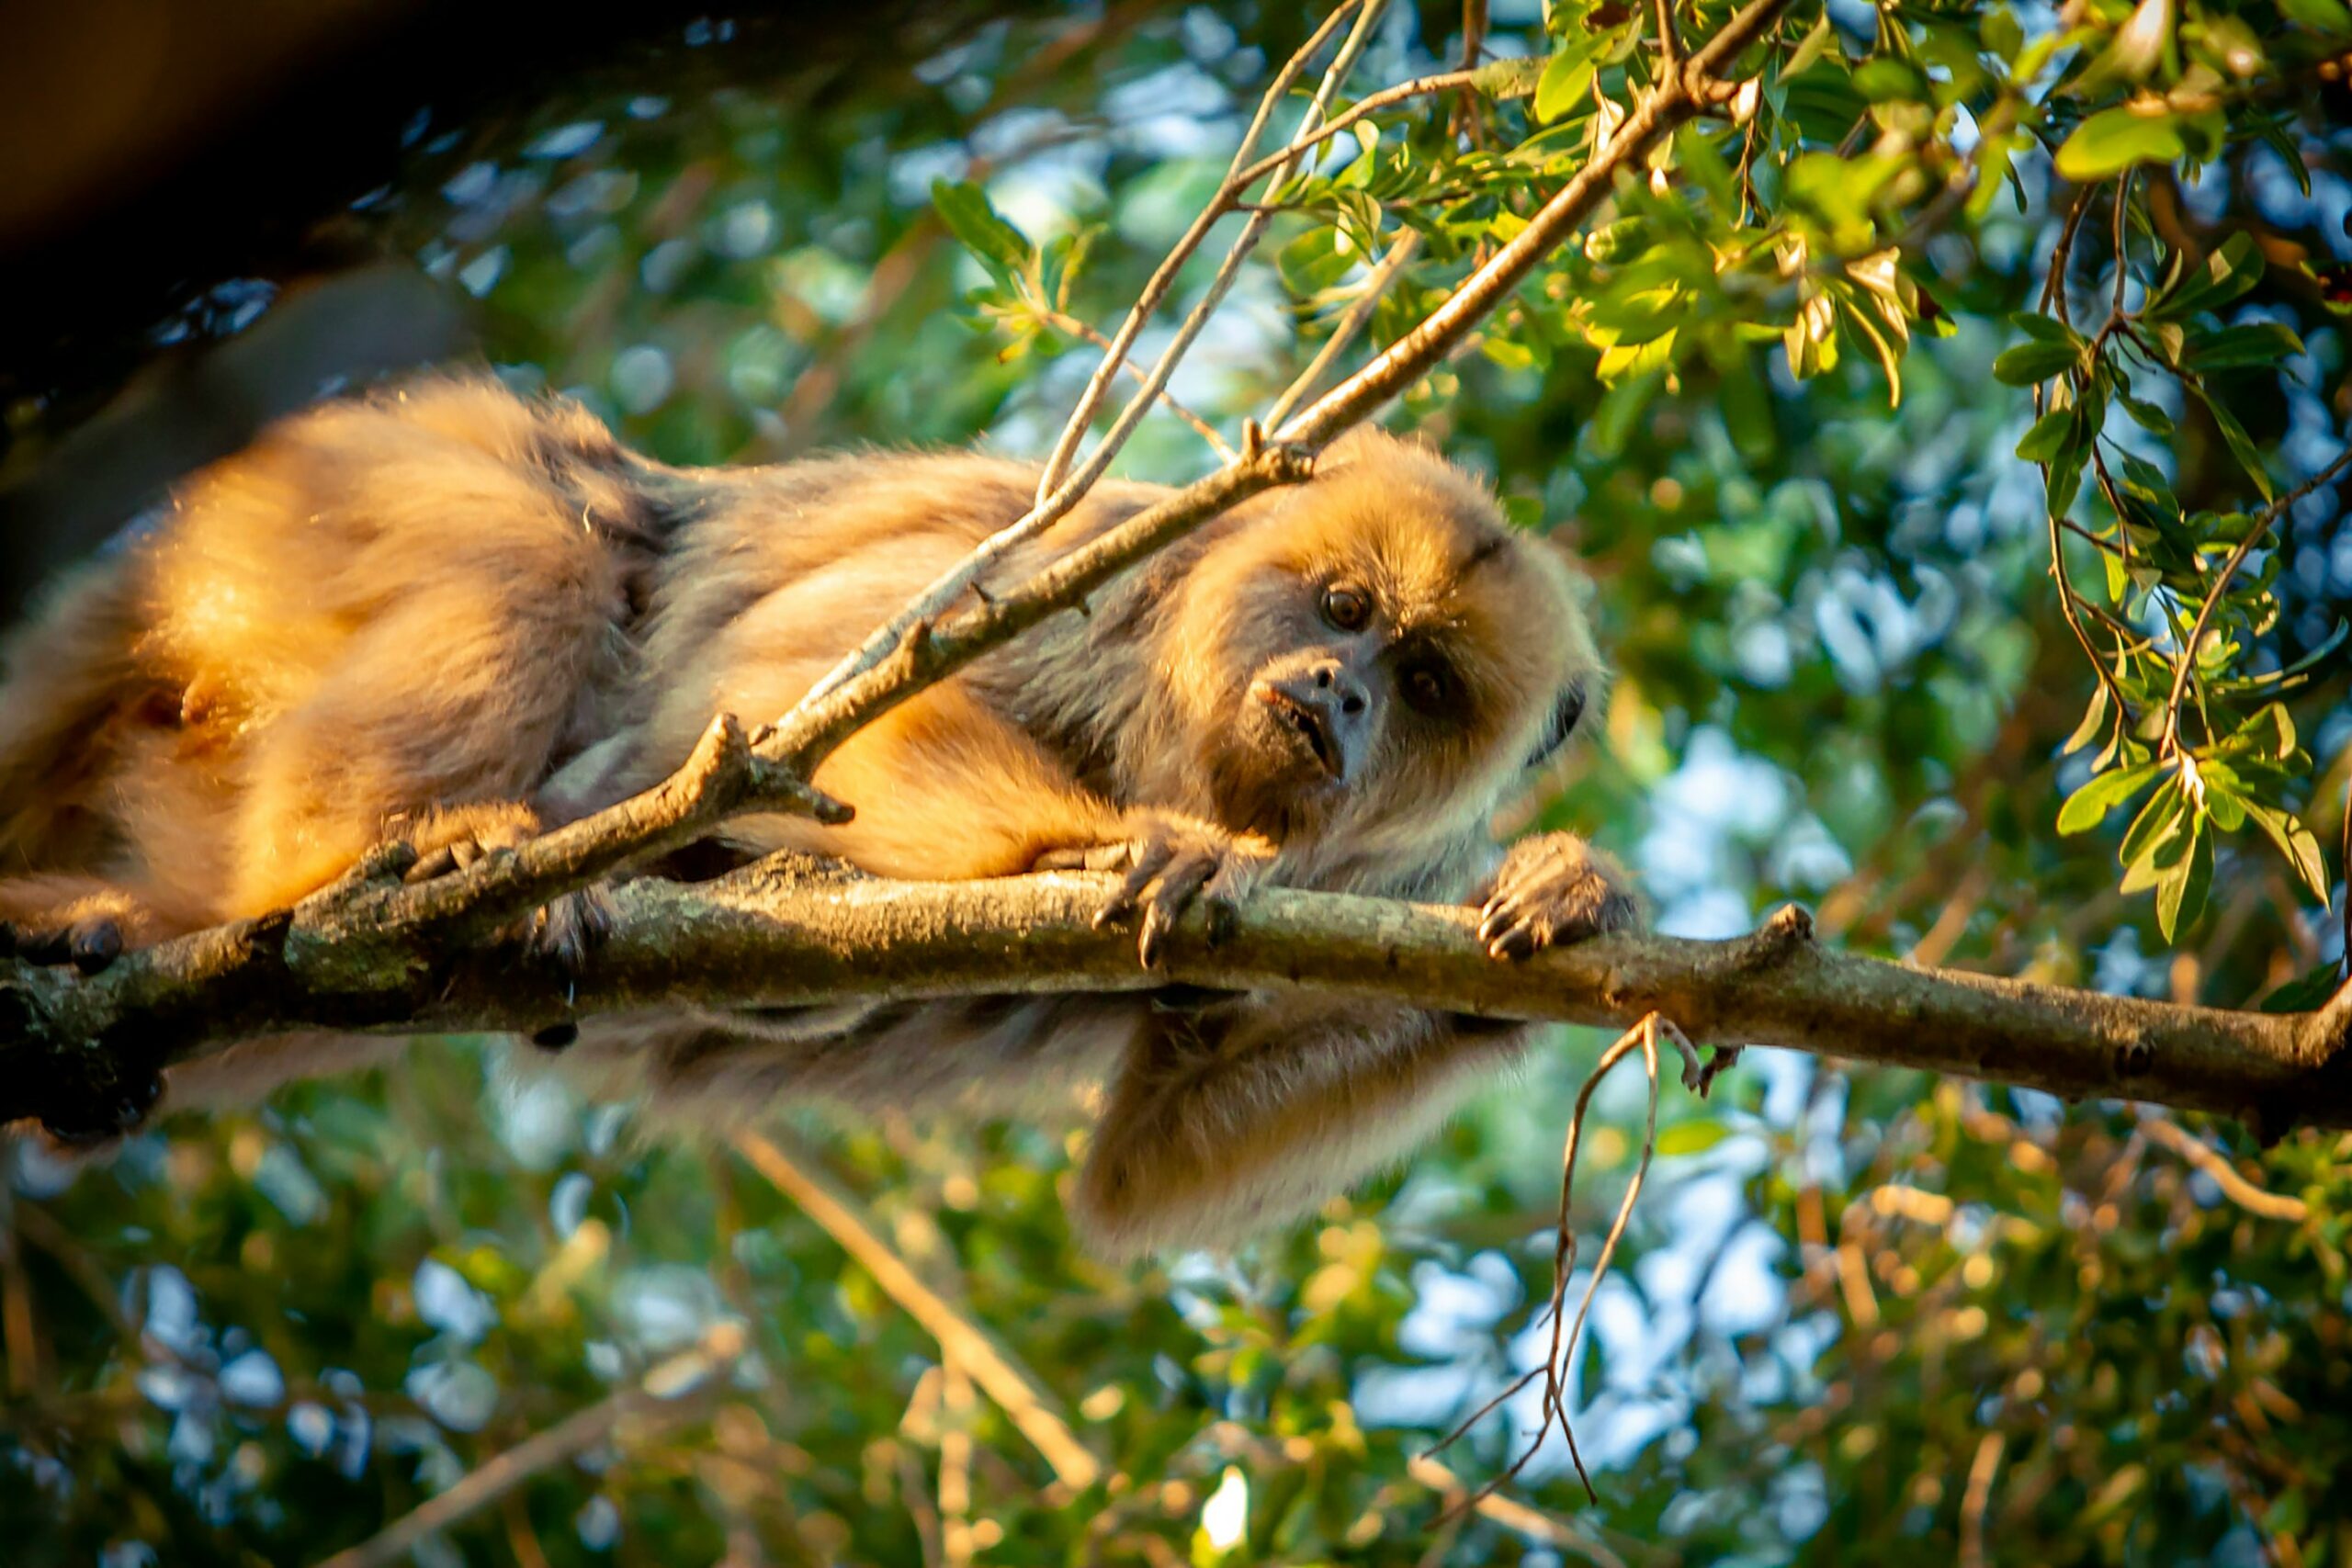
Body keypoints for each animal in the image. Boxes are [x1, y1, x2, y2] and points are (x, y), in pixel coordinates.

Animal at [0, 375, 1639, 1255]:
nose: (1339, 695)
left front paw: (1565, 900)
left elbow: (1147, 1157)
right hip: (366, 483)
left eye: (1425, 681)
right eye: (1344, 606)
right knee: (539, 553)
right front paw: (1106, 843)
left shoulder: (1383, 869)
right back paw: (379, 861)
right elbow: (790, 683)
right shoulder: (1083, 582)